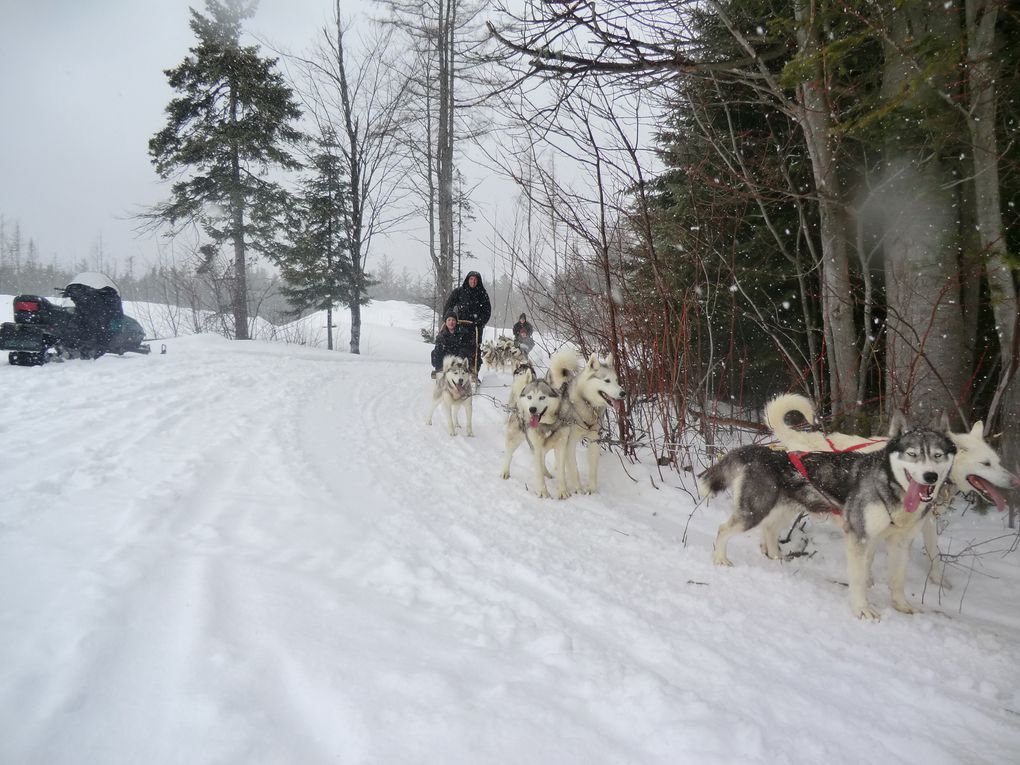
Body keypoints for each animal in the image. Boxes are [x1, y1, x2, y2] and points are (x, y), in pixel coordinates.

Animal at [501, 373, 575, 503]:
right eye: (530, 397)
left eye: (542, 397)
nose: (532, 409)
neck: (547, 424)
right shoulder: (536, 446)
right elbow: (538, 472)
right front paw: (543, 492)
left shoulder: (561, 446)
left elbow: (561, 472)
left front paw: (563, 492)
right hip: (514, 437)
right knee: (509, 453)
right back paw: (505, 472)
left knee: (542, 459)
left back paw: (547, 474)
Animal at [550, 348, 620, 497]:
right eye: (607, 380)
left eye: (617, 381)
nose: (623, 393)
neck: (587, 404)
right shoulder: (570, 442)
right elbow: (574, 468)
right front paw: (577, 488)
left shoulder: (595, 440)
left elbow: (593, 469)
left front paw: (592, 489)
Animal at [701, 416, 954, 620]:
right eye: (912, 454)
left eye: (938, 455)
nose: (930, 476)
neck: (890, 486)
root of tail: (764, 451)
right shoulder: (859, 537)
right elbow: (859, 579)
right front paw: (862, 609)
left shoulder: (900, 542)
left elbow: (898, 579)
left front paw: (901, 606)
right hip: (754, 511)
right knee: (723, 529)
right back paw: (720, 558)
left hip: (785, 510)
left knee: (770, 530)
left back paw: (775, 558)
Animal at [767, 395, 1020, 587]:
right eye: (986, 464)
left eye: (997, 462)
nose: (1015, 480)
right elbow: (869, 555)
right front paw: (867, 582)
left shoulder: (925, 521)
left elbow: (934, 552)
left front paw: (939, 582)